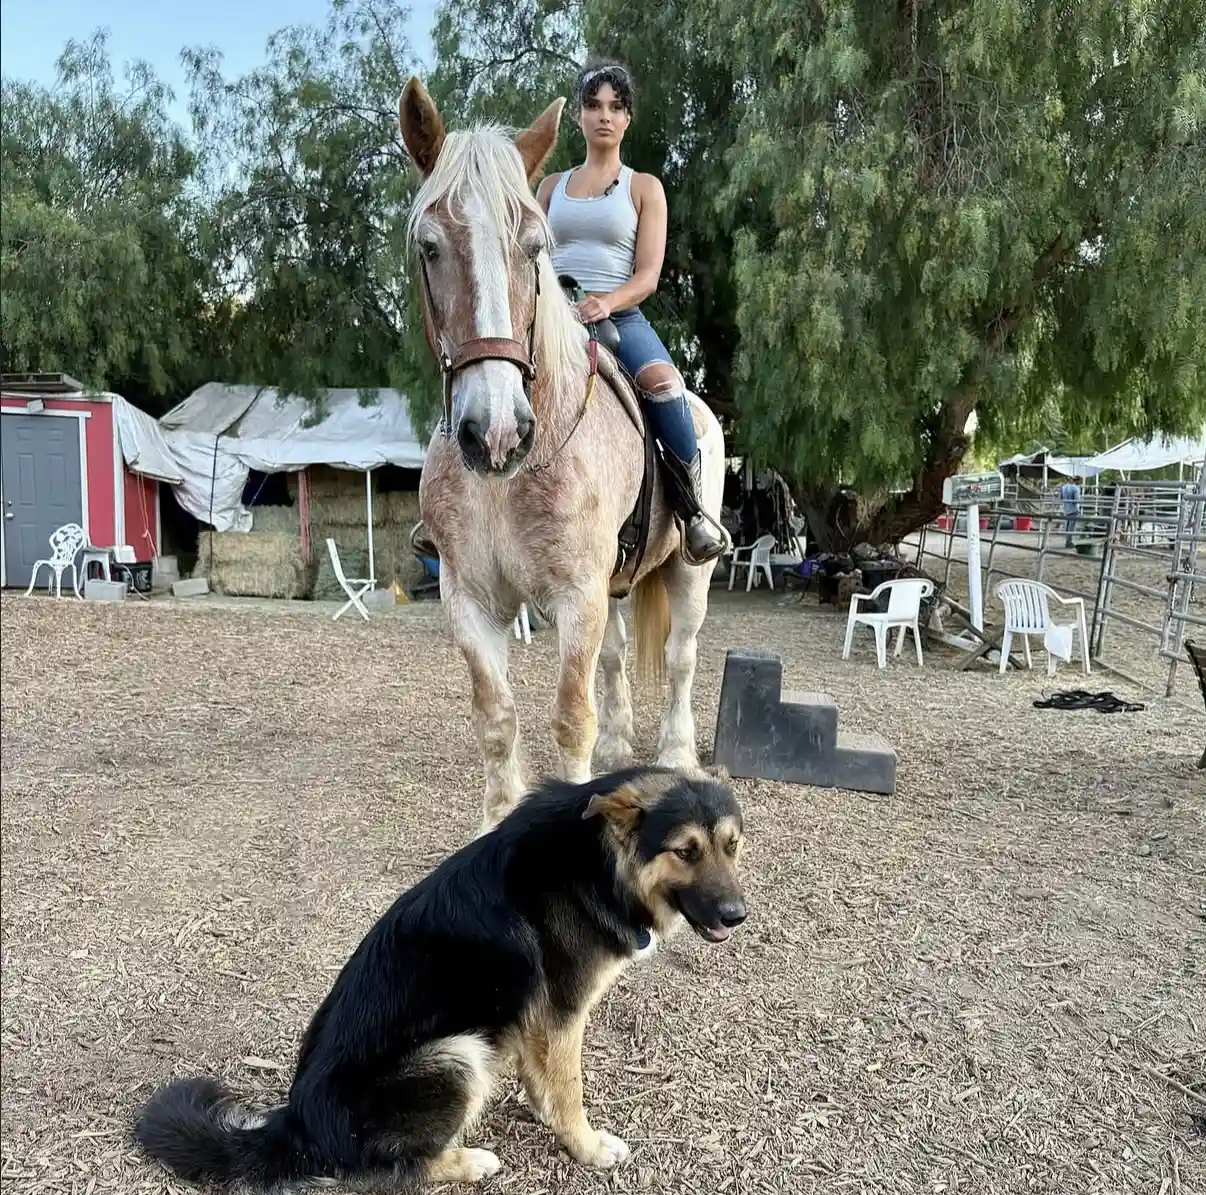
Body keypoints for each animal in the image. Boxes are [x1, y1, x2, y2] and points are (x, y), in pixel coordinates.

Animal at [132, 765, 748, 1191]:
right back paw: (469, 1160)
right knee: (387, 1169)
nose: (737, 915)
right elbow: (569, 1087)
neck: (597, 860)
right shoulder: (563, 1010)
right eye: (684, 851)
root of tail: (298, 1125)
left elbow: (543, 1076)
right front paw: (587, 1147)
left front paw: (543, 1109)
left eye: (732, 845)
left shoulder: (535, 1018)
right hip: (457, 1053)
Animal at [398, 77, 729, 834]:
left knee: (680, 658)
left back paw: (675, 756)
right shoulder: (471, 600)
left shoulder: (575, 596)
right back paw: (620, 752)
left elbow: (569, 719)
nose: (495, 432)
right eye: (429, 247)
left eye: (533, 247)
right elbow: (497, 718)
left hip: (688, 572)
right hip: (613, 584)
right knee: (615, 662)